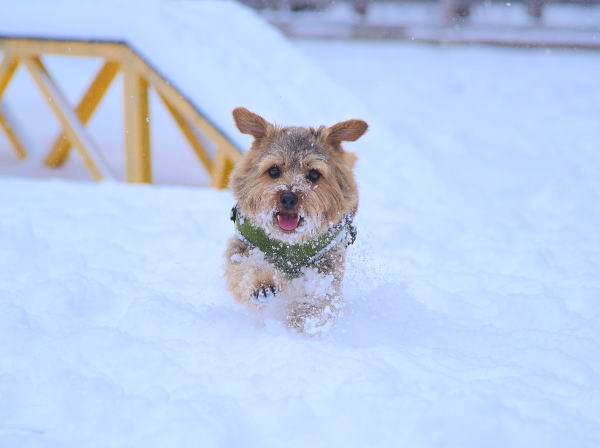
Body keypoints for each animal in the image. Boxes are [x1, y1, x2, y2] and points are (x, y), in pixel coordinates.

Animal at [224, 107, 366, 334]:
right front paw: (263, 286)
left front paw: (301, 319)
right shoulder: (244, 246)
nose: (289, 197)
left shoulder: (328, 260)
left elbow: (319, 294)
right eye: (273, 170)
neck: (288, 244)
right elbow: (247, 267)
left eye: (314, 174)